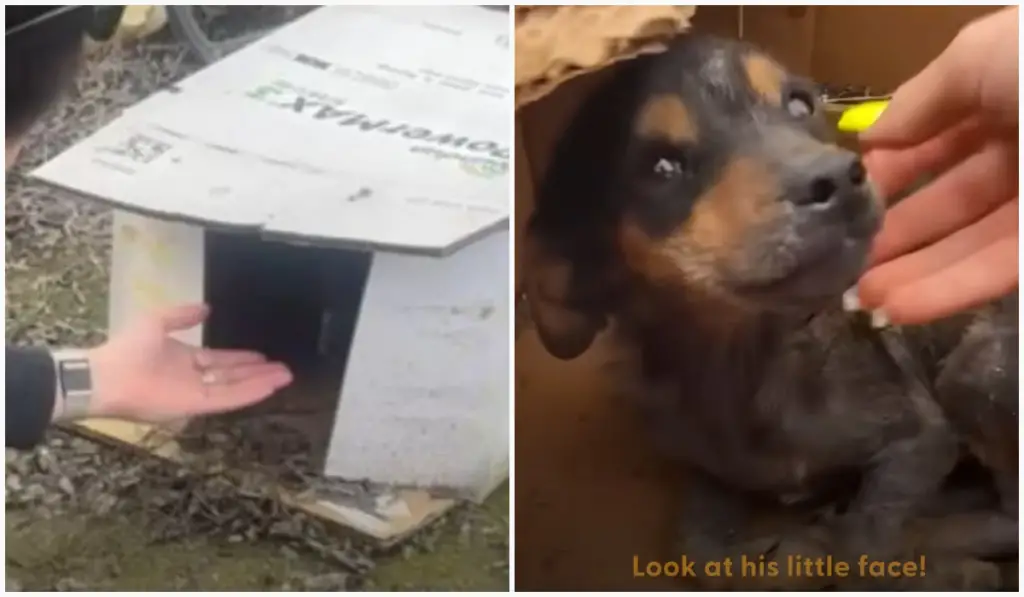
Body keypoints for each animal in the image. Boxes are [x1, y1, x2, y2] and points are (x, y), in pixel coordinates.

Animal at [524, 35, 1019, 589]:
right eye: (661, 167)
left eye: (801, 105)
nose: (840, 177)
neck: (742, 361)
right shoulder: (702, 468)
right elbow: (697, 551)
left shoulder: (921, 437)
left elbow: (864, 546)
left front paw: (833, 549)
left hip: (976, 370)